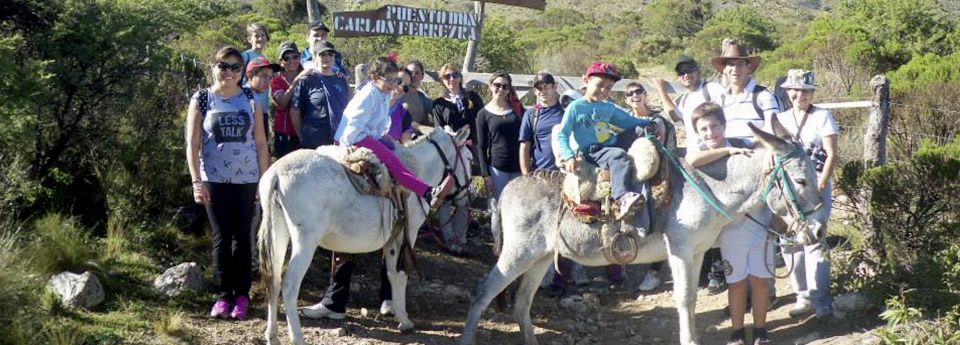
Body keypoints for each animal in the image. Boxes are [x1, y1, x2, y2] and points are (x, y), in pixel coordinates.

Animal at [258, 127, 472, 344]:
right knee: (290, 285)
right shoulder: (407, 234)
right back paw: (297, 337)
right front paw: (404, 320)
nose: (468, 195)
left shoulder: (392, 239)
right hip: (305, 242)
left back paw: (272, 335)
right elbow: (401, 274)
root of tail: (277, 172)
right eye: (470, 159)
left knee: (273, 280)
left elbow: (391, 273)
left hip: (279, 233)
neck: (417, 170)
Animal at [458, 121, 824, 344]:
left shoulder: (697, 252)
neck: (709, 187)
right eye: (801, 180)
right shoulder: (680, 250)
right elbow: (684, 298)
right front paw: (689, 340)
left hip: (540, 258)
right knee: (482, 292)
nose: (819, 230)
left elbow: (691, 298)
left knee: (521, 302)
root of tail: (508, 188)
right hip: (517, 254)